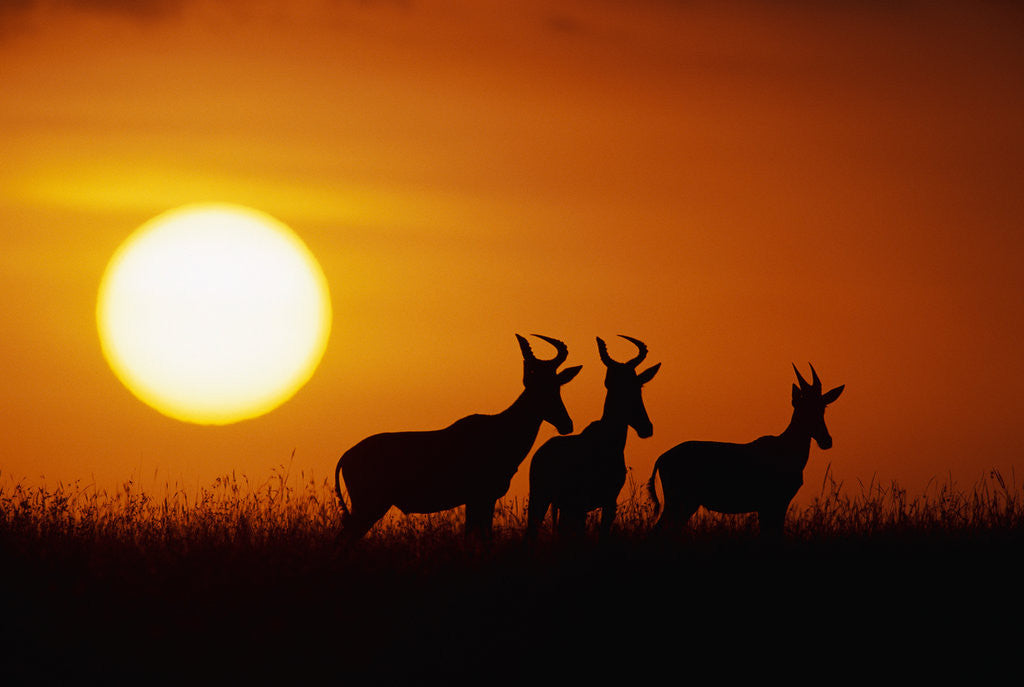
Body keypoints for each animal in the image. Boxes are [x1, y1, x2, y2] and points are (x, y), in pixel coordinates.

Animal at [334, 334, 582, 544]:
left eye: (556, 385)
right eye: (536, 386)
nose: (566, 424)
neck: (498, 427)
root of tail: (347, 455)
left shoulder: (483, 500)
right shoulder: (478, 498)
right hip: (369, 507)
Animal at [526, 336, 660, 543]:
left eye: (638, 384)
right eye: (612, 383)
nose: (646, 428)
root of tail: (541, 452)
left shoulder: (609, 503)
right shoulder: (580, 504)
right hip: (541, 498)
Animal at [648, 364, 844, 538]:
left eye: (823, 407)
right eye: (803, 407)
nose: (827, 441)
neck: (784, 448)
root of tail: (661, 458)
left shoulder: (773, 505)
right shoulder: (771, 504)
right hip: (681, 502)